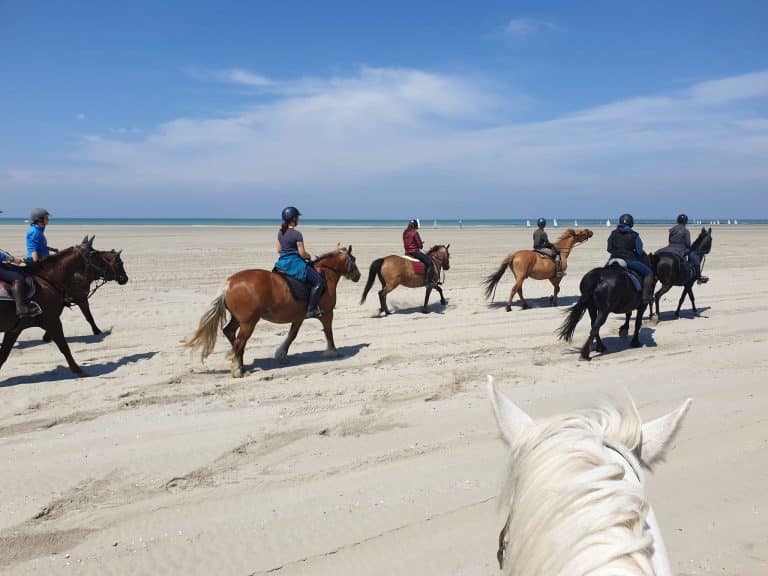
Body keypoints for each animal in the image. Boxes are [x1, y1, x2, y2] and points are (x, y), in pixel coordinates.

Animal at [0, 243, 111, 378]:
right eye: (95, 255)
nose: (109, 268)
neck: (45, 280)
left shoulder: (14, 329)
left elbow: (3, 355)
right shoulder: (53, 322)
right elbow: (64, 347)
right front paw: (78, 370)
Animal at [189, 246, 364, 378]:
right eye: (353, 259)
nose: (358, 276)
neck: (325, 274)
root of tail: (228, 284)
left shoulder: (299, 317)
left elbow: (292, 335)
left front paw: (281, 354)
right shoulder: (327, 314)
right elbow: (329, 332)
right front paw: (333, 352)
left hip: (238, 319)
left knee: (230, 333)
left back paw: (241, 364)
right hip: (248, 323)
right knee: (239, 342)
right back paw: (238, 370)